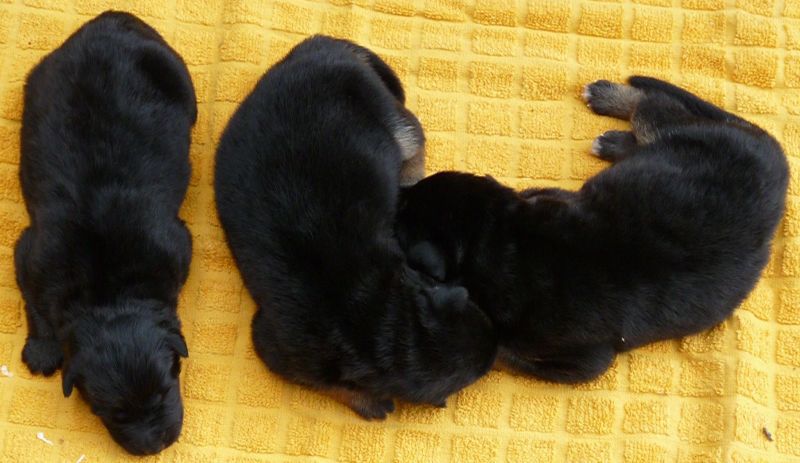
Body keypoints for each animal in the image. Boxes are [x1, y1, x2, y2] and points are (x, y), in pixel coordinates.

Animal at [15, 11, 195, 455]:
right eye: (113, 413)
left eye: (163, 392)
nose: (154, 446)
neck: (108, 293)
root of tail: (109, 19)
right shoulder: (32, 254)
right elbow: (34, 300)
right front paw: (42, 351)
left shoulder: (178, 246)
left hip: (179, 75)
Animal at [214, 35, 496, 419]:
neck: (386, 323)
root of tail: (320, 46)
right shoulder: (276, 348)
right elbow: (330, 385)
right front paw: (368, 400)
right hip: (389, 115)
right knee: (415, 140)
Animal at [395, 76, 788, 383]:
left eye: (404, 215)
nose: (396, 191)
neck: (501, 238)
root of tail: (776, 157)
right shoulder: (549, 199)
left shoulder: (584, 361)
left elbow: (505, 350)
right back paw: (613, 134)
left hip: (676, 133)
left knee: (653, 105)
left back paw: (607, 102)